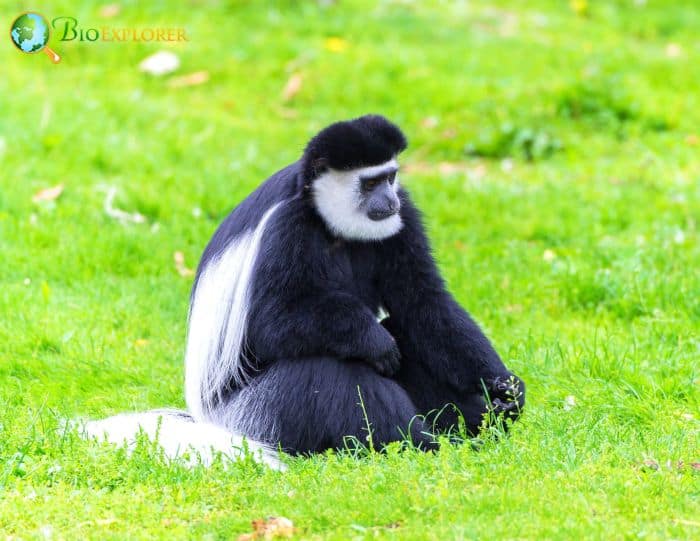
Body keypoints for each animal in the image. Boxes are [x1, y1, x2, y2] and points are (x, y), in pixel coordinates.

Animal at [86, 115, 524, 464]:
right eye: (370, 183)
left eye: (390, 177)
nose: (389, 201)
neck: (331, 225)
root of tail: (218, 422)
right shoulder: (285, 229)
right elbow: (269, 326)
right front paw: (370, 339)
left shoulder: (405, 218)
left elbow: (423, 300)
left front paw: (504, 387)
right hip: (260, 410)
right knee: (327, 370)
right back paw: (421, 443)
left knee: (408, 332)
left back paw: (480, 425)